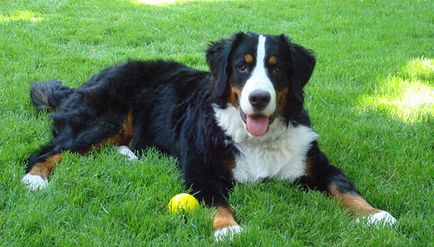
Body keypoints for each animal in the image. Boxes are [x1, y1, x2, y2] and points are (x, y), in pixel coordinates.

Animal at [22, 31, 396, 240]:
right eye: (243, 66)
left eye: (276, 67)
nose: (259, 98)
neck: (255, 140)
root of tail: (86, 81)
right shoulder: (201, 169)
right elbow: (218, 200)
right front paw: (227, 228)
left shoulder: (314, 164)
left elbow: (344, 187)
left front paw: (375, 214)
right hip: (108, 120)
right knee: (50, 150)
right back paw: (35, 179)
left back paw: (128, 155)